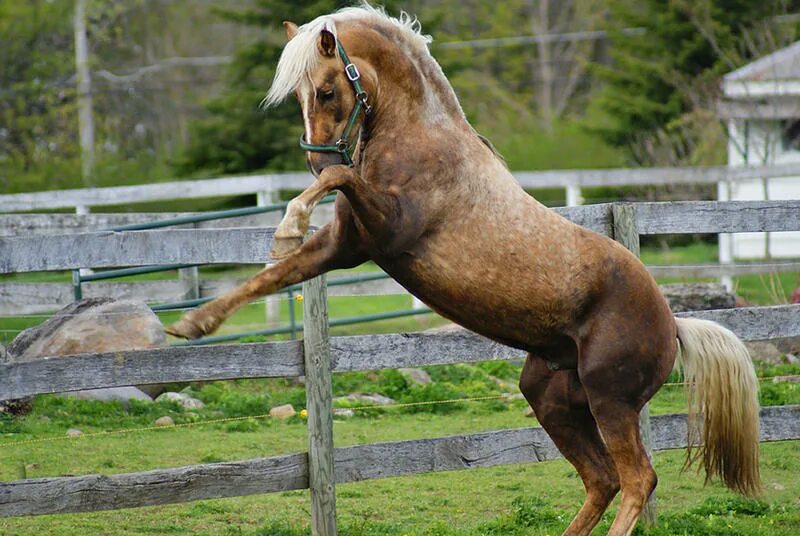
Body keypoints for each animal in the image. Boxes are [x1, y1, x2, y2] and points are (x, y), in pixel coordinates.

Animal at [166, 6, 760, 532]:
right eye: (296, 95)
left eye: (327, 90)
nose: (317, 159)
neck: (421, 140)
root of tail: (673, 322)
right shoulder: (347, 245)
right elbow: (272, 274)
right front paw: (191, 324)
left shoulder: (386, 229)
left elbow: (342, 183)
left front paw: (289, 220)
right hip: (551, 397)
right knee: (602, 480)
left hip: (610, 400)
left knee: (638, 480)